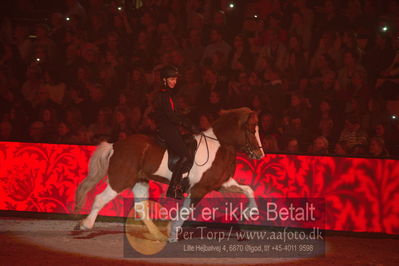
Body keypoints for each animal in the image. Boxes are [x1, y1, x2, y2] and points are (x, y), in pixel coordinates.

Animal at [75, 106, 266, 241]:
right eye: (251, 130)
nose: (260, 155)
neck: (219, 144)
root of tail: (116, 145)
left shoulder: (221, 183)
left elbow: (248, 189)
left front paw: (250, 212)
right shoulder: (200, 189)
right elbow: (186, 211)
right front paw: (173, 232)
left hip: (140, 181)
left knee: (141, 208)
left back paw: (157, 236)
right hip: (120, 180)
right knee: (100, 199)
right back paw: (85, 225)